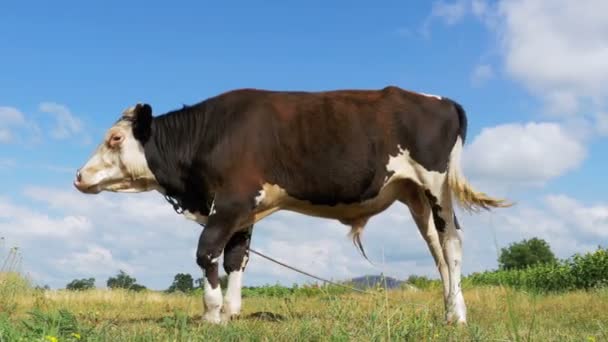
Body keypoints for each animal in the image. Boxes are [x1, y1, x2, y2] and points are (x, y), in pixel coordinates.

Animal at [72, 85, 512, 324]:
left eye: (115, 139)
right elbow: (236, 258)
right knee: (436, 250)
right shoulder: (243, 208)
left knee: (452, 244)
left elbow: (207, 252)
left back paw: (458, 316)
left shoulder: (230, 201)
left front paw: (211, 313)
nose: (78, 176)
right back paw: (447, 310)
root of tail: (442, 100)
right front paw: (231, 312)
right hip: (414, 193)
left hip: (436, 185)